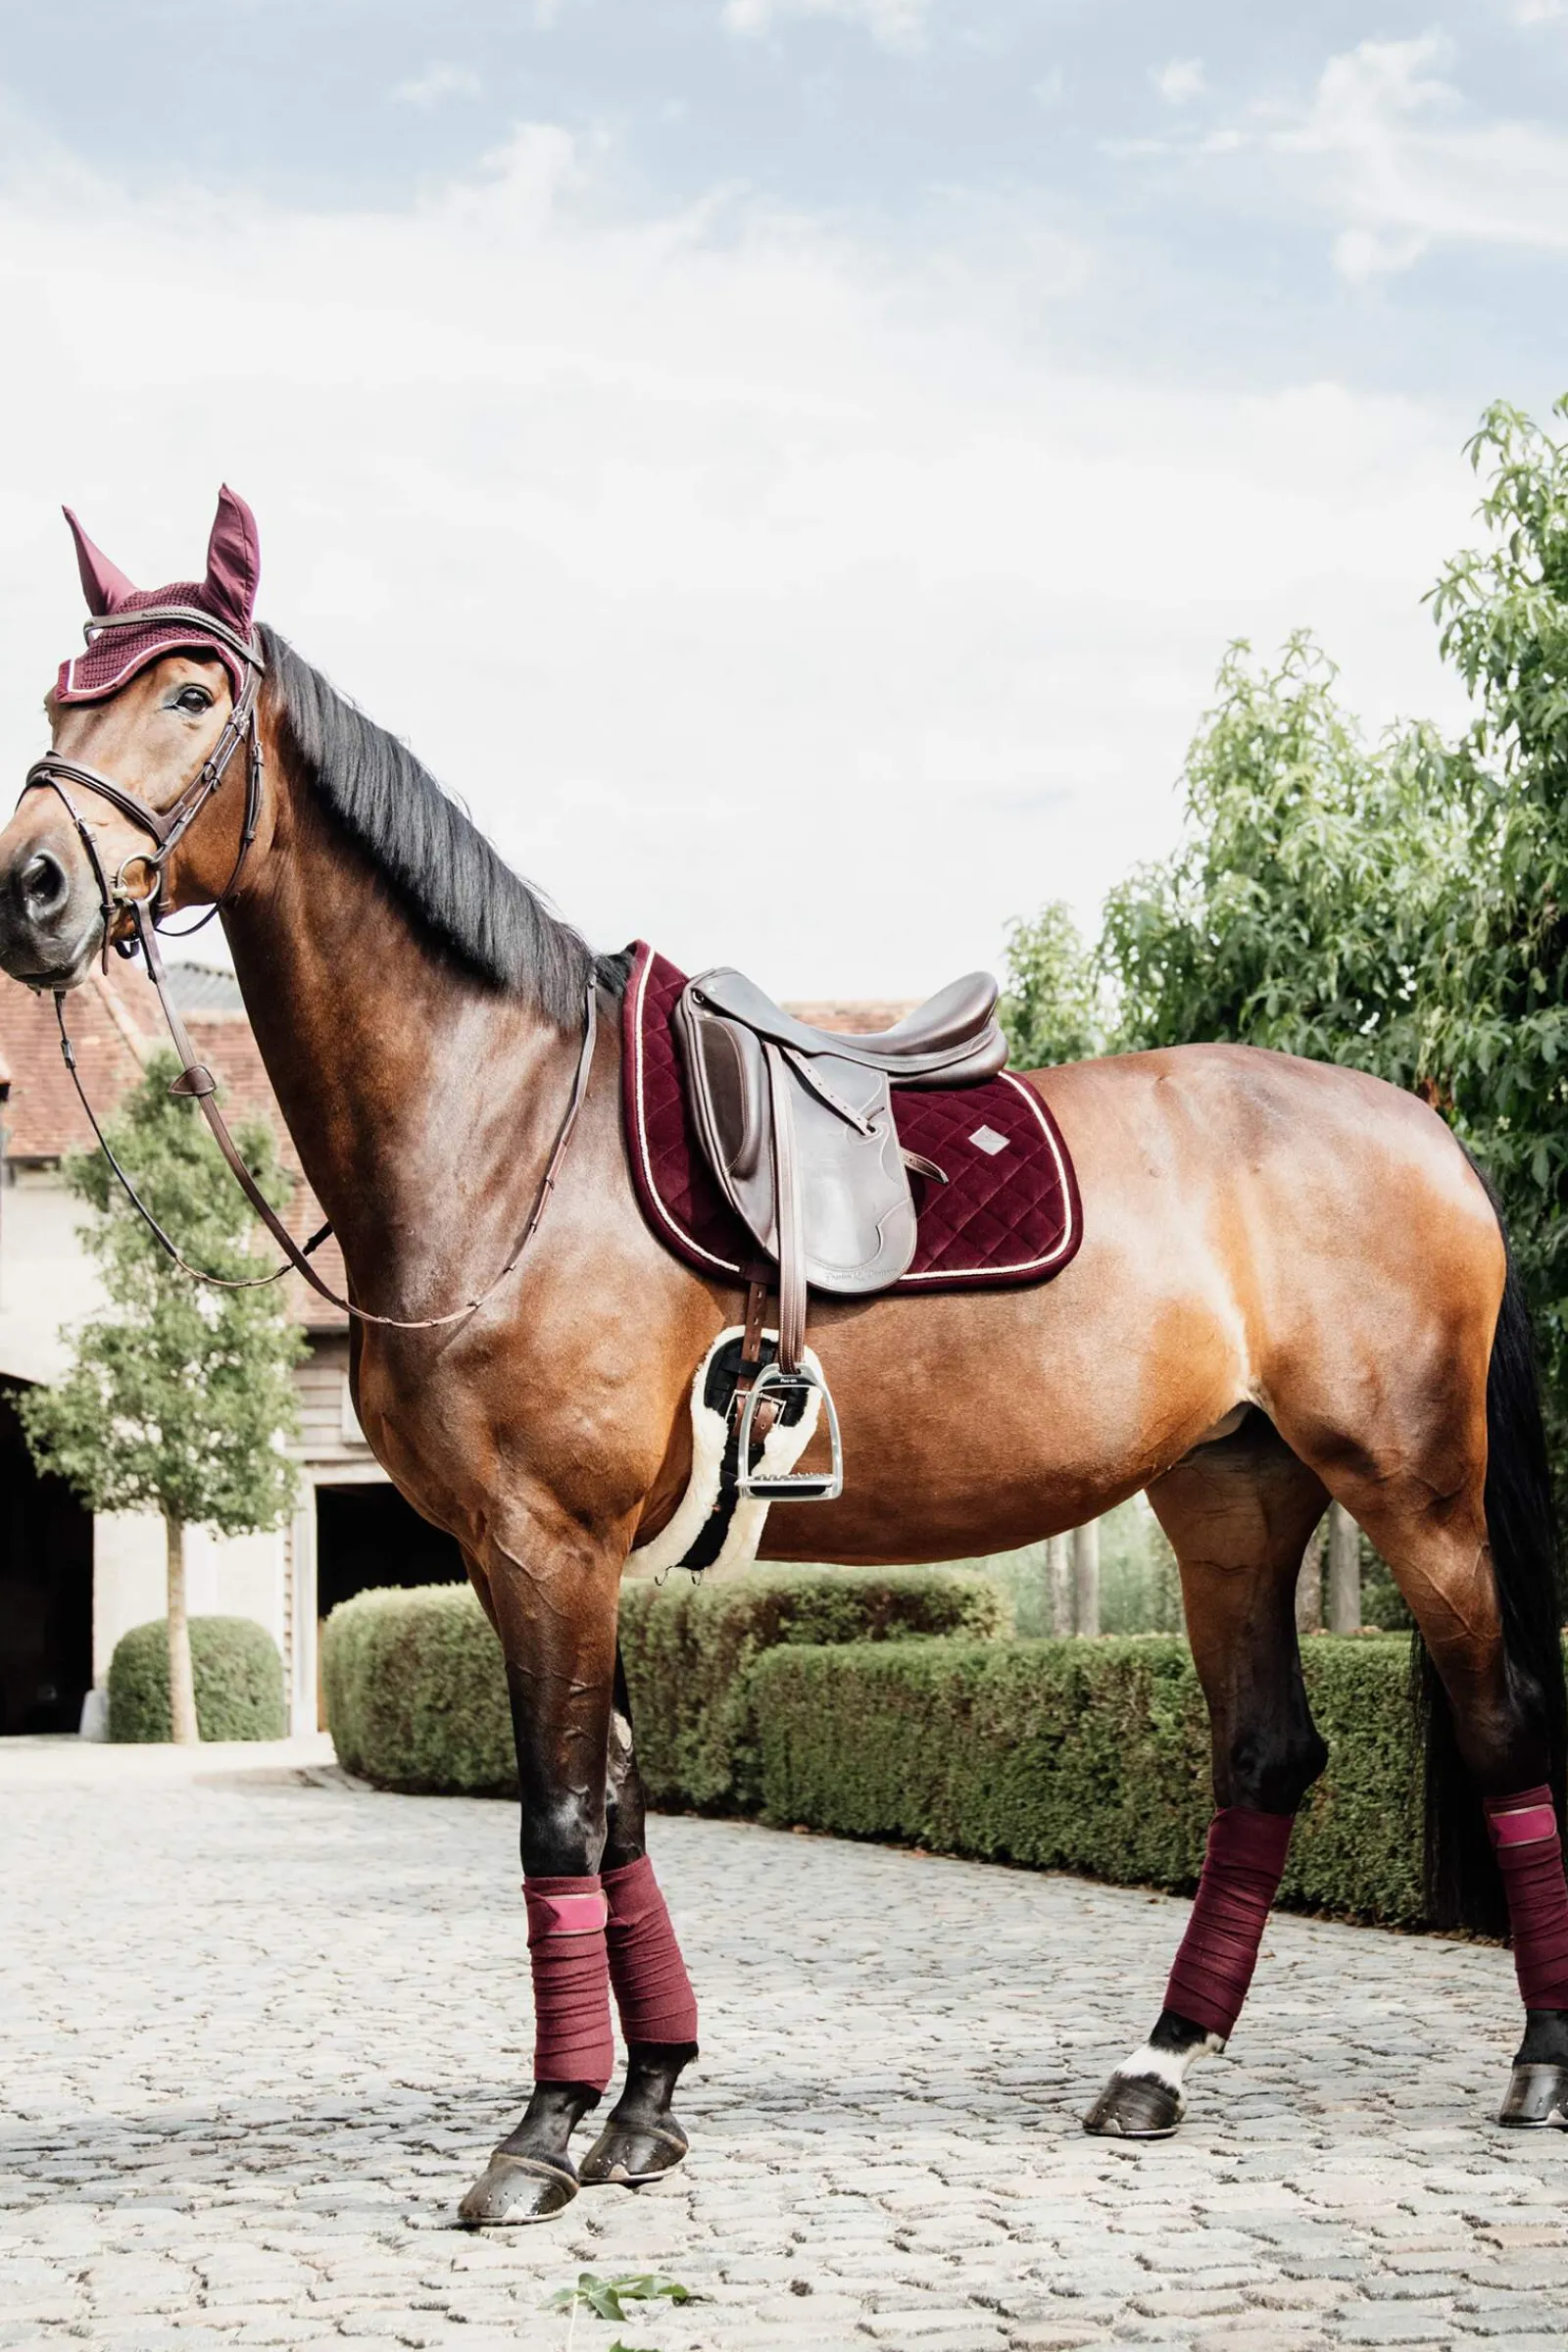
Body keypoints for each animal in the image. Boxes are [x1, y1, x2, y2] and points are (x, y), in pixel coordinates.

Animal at [2, 486, 1566, 2228]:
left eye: (187, 693)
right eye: (63, 697)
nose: (35, 890)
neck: (506, 1130)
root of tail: (1421, 1125)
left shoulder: (548, 1542)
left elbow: (558, 1820)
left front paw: (540, 2136)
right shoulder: (538, 1552)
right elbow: (618, 1812)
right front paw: (645, 2107)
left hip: (1413, 1486)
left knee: (1503, 1721)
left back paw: (1535, 2069)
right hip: (1232, 1495)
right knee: (1269, 1756)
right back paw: (1156, 2069)